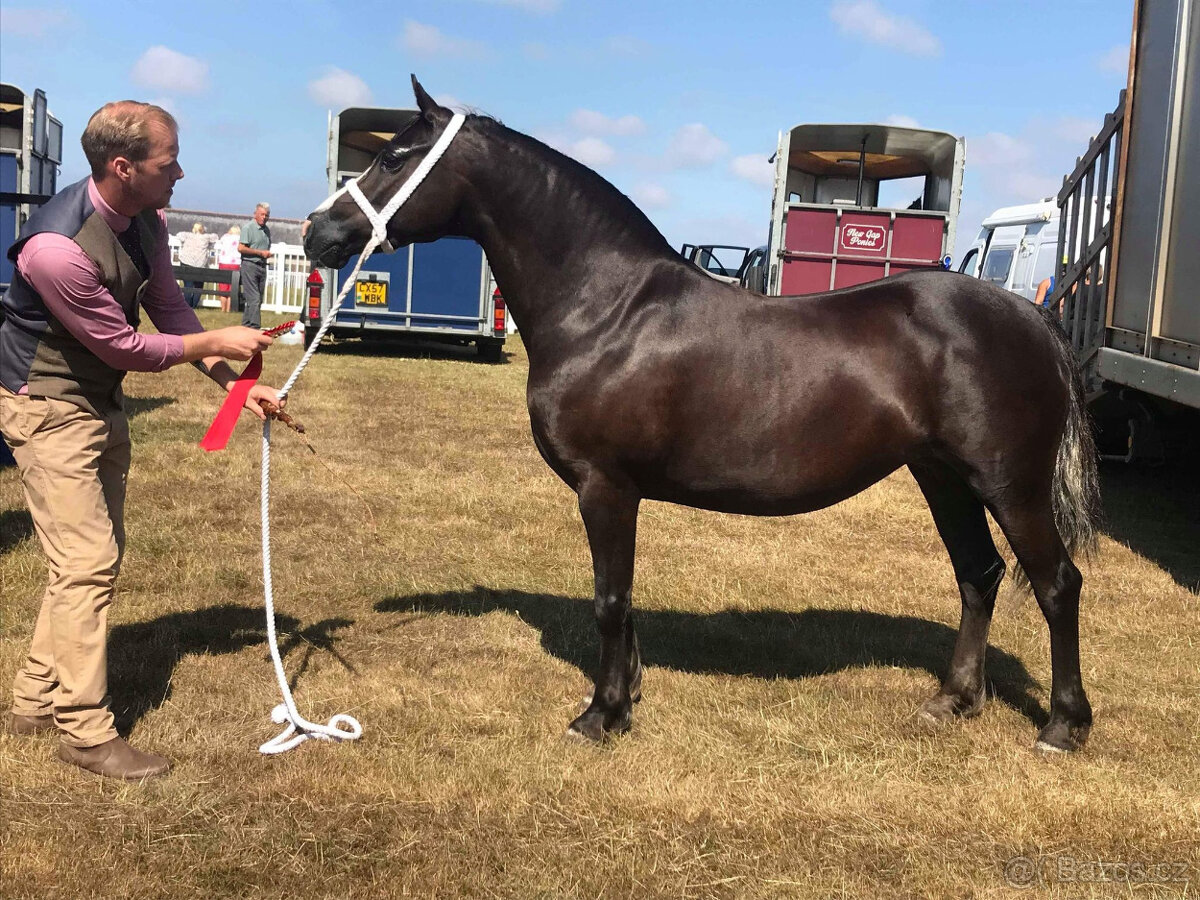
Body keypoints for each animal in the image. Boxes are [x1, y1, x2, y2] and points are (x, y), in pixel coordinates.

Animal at [305, 77, 1100, 753]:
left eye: (395, 157)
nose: (319, 233)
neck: (608, 308)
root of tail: (1033, 319)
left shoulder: (605, 487)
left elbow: (610, 597)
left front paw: (600, 716)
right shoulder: (618, 492)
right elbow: (623, 600)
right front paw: (627, 693)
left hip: (1009, 484)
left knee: (1056, 583)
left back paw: (1063, 726)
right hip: (943, 478)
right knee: (979, 574)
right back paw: (955, 700)